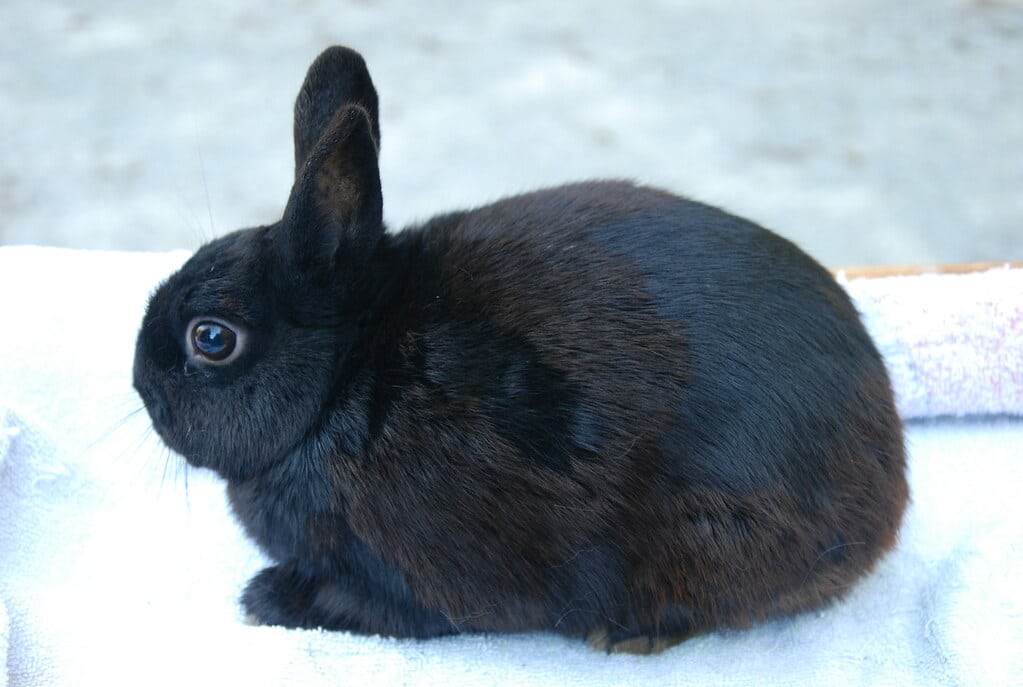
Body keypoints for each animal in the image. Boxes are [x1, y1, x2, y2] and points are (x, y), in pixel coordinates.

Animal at [133, 45, 908, 654]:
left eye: (211, 338)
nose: (141, 385)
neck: (344, 378)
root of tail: (890, 478)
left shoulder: (412, 573)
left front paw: (266, 599)